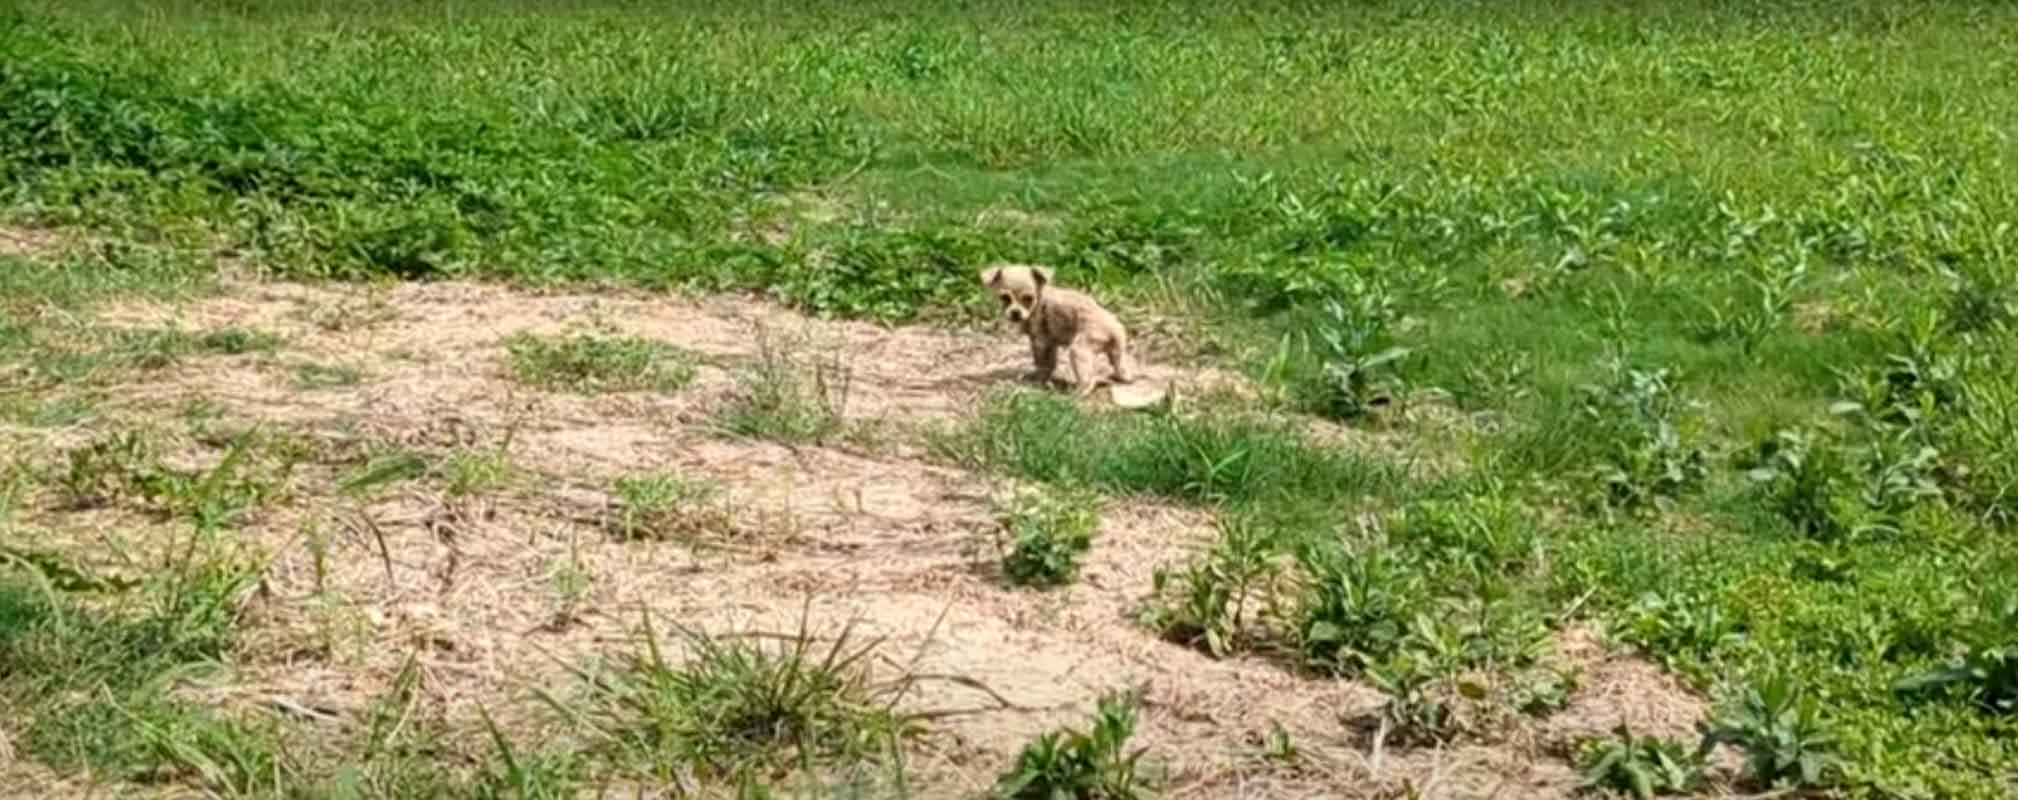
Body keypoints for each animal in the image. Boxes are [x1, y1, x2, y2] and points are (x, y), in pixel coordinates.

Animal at [980, 262, 1138, 395]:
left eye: (1028, 299)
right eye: (1005, 298)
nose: (1015, 313)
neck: (1039, 300)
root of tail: (1114, 329)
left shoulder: (1041, 342)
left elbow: (1043, 364)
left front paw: (1039, 379)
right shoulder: (1050, 343)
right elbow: (1050, 363)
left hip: (1079, 349)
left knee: (1088, 380)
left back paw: (1077, 393)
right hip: (1116, 353)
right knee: (1121, 368)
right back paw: (1121, 377)